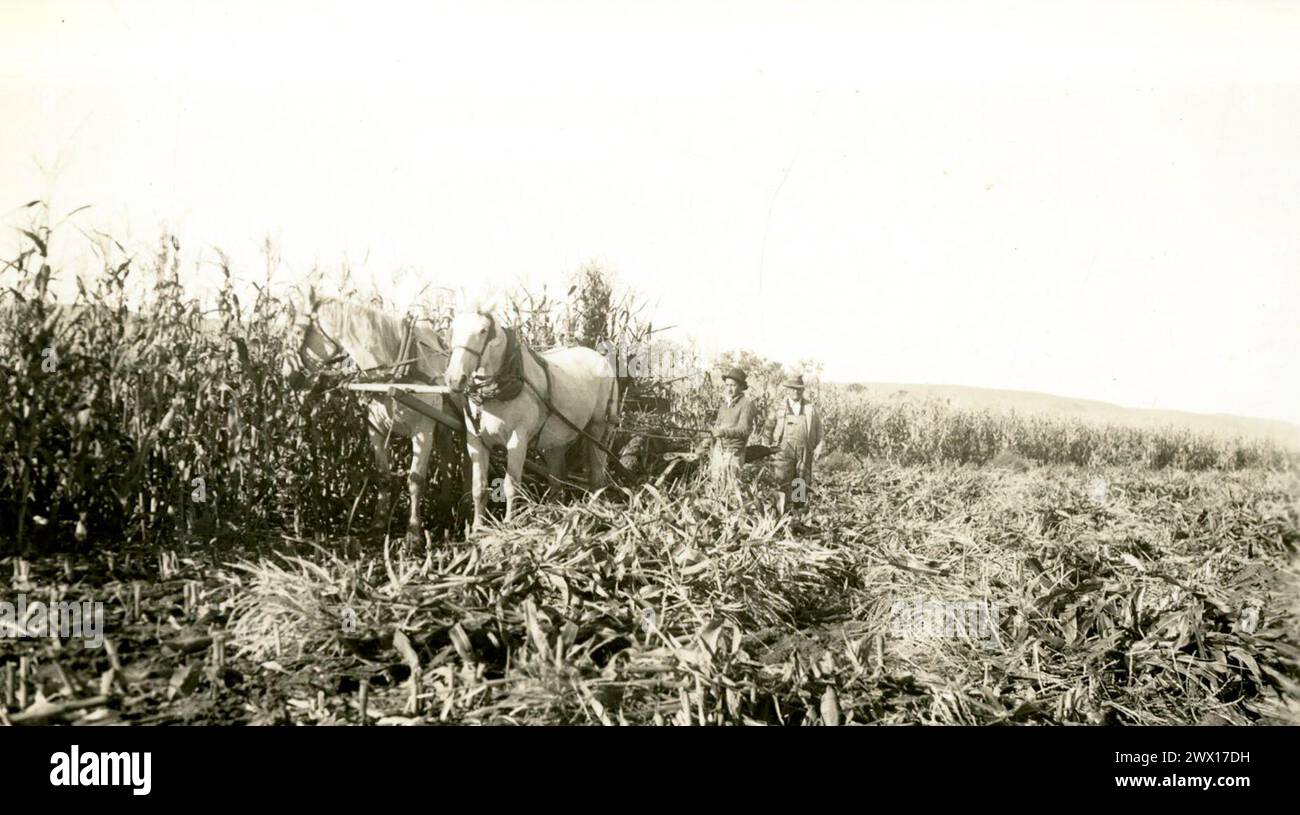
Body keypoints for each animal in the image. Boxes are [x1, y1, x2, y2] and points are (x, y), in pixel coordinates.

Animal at [284, 287, 462, 543]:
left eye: (298, 331)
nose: (287, 375)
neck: (393, 374)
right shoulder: (375, 429)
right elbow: (383, 476)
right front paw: (378, 524)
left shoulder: (423, 430)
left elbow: (416, 479)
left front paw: (413, 533)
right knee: (449, 458)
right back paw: (444, 512)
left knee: (453, 458)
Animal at [447, 306, 618, 530]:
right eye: (453, 329)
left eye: (483, 331)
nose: (454, 378)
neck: (496, 393)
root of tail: (602, 358)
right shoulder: (476, 440)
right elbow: (479, 488)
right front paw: (477, 528)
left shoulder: (517, 439)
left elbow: (511, 486)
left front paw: (508, 524)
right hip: (555, 440)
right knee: (557, 477)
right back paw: (553, 512)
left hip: (599, 428)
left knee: (597, 471)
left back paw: (594, 510)